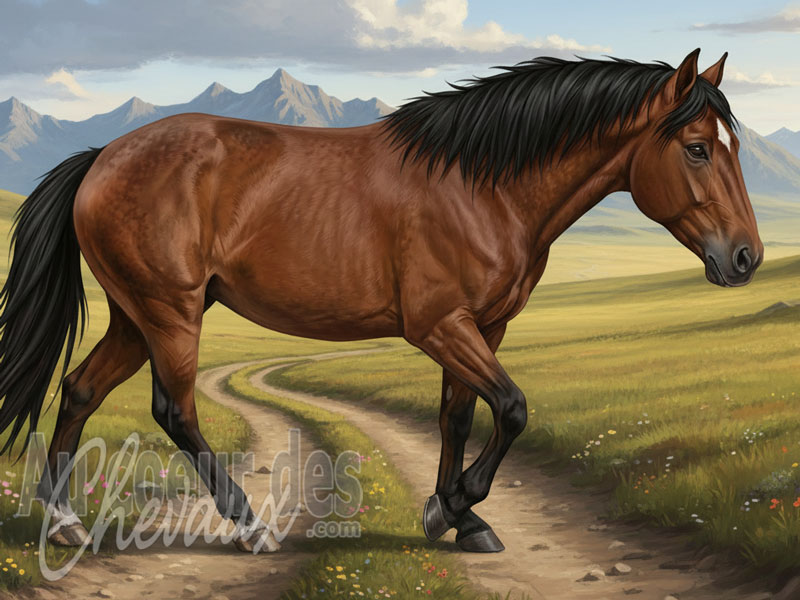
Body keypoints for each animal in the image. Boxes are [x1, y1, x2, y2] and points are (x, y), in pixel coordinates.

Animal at [0, 49, 762, 554]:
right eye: (698, 147)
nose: (746, 257)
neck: (480, 186)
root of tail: (101, 158)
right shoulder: (440, 325)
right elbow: (513, 408)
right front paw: (451, 508)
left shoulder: (484, 326)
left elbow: (460, 416)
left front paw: (460, 518)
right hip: (170, 313)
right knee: (174, 410)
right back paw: (250, 525)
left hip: (135, 317)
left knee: (80, 389)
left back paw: (65, 524)